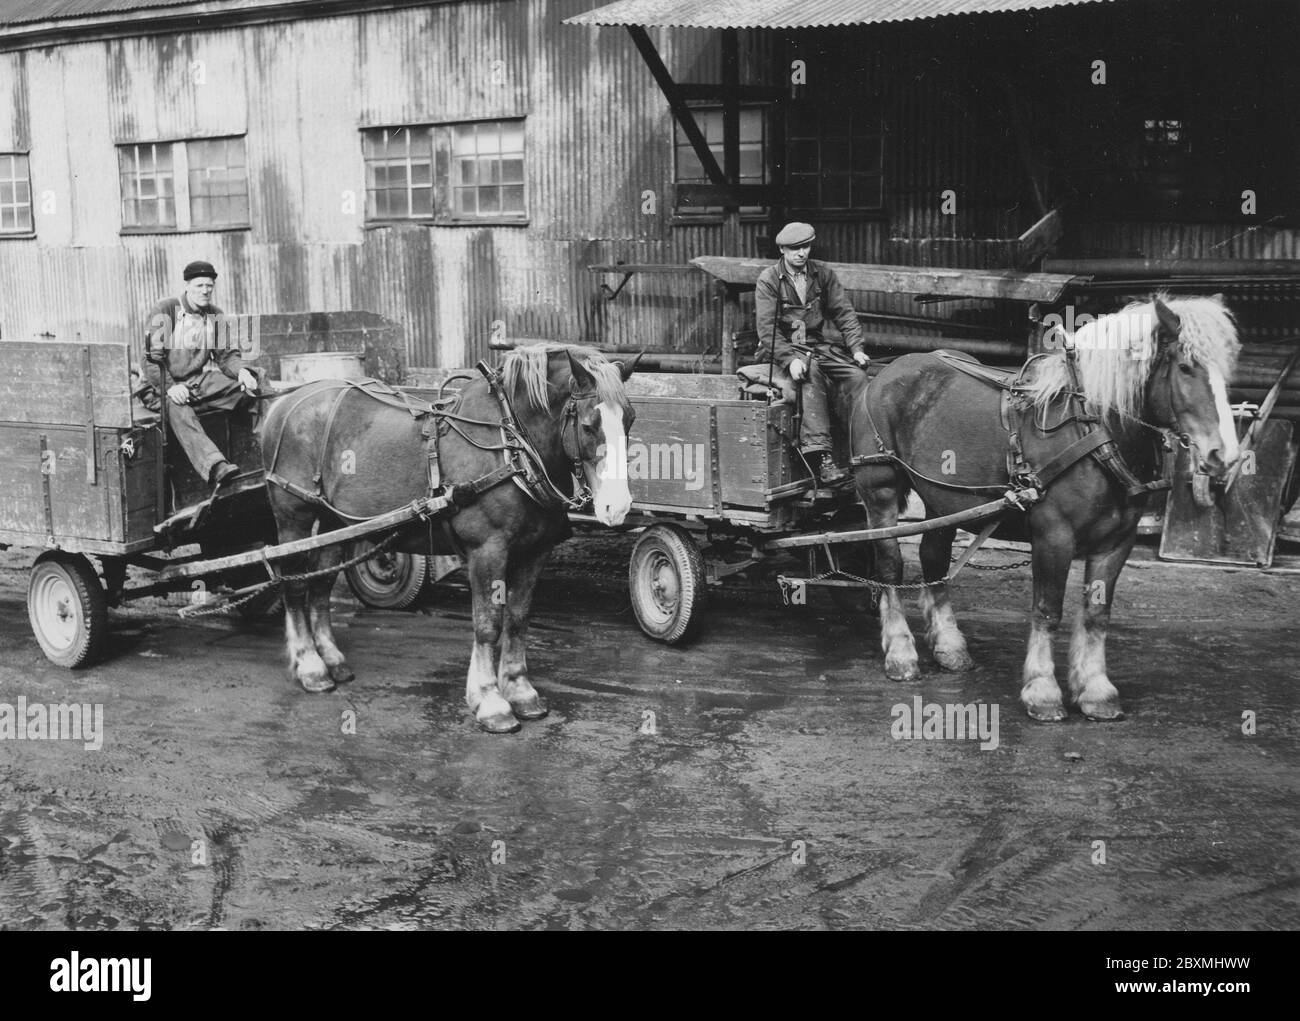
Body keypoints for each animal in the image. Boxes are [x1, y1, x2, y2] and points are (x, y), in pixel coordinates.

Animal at [257, 343, 634, 733]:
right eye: (588, 425)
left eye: (630, 420)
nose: (618, 506)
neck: (511, 446)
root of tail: (284, 403)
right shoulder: (487, 550)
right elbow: (488, 625)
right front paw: (490, 702)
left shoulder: (535, 552)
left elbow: (518, 620)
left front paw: (520, 691)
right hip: (294, 520)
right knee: (294, 586)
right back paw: (309, 666)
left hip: (335, 522)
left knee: (320, 585)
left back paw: (331, 659)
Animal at [847, 296, 1242, 717]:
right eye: (1185, 366)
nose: (1225, 456)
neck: (1093, 431)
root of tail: (886, 373)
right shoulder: (1054, 537)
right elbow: (1048, 611)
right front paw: (1042, 690)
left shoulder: (1117, 541)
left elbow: (1097, 613)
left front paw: (1096, 690)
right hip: (881, 491)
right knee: (890, 564)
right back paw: (900, 652)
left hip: (940, 497)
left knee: (933, 559)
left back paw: (949, 646)